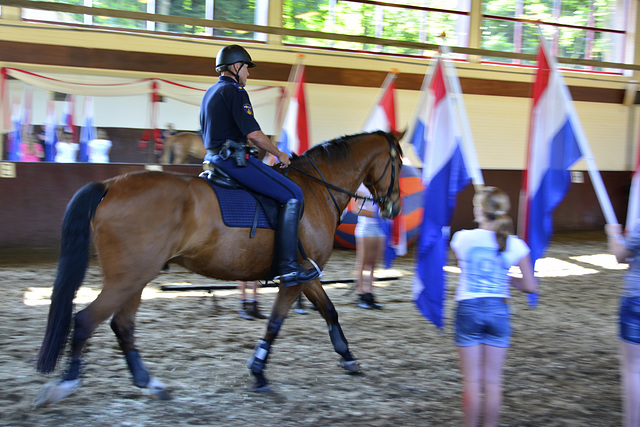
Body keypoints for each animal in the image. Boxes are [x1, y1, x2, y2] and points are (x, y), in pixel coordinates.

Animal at [33, 131, 400, 408]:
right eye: (397, 162)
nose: (394, 207)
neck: (315, 190)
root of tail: (111, 184)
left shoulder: (307, 275)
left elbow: (329, 311)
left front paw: (348, 357)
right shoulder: (296, 278)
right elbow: (275, 324)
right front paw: (259, 372)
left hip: (136, 278)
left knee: (122, 326)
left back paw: (149, 383)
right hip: (127, 277)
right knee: (85, 321)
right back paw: (65, 386)